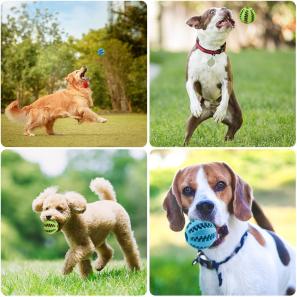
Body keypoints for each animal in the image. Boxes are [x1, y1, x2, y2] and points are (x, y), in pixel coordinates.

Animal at [184, 7, 242, 145]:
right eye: (212, 12)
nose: (226, 9)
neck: (211, 50)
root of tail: (210, 109)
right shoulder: (190, 80)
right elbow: (191, 92)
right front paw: (195, 106)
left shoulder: (227, 81)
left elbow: (225, 96)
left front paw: (221, 111)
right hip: (191, 121)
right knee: (188, 135)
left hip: (237, 117)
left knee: (231, 130)